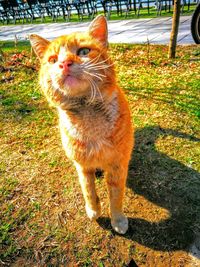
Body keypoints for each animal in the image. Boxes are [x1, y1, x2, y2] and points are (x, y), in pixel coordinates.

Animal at [29, 15, 133, 236]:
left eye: (83, 51)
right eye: (53, 60)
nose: (64, 64)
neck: (88, 114)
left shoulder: (118, 165)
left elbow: (116, 197)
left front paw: (118, 220)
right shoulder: (82, 166)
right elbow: (88, 190)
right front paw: (93, 210)